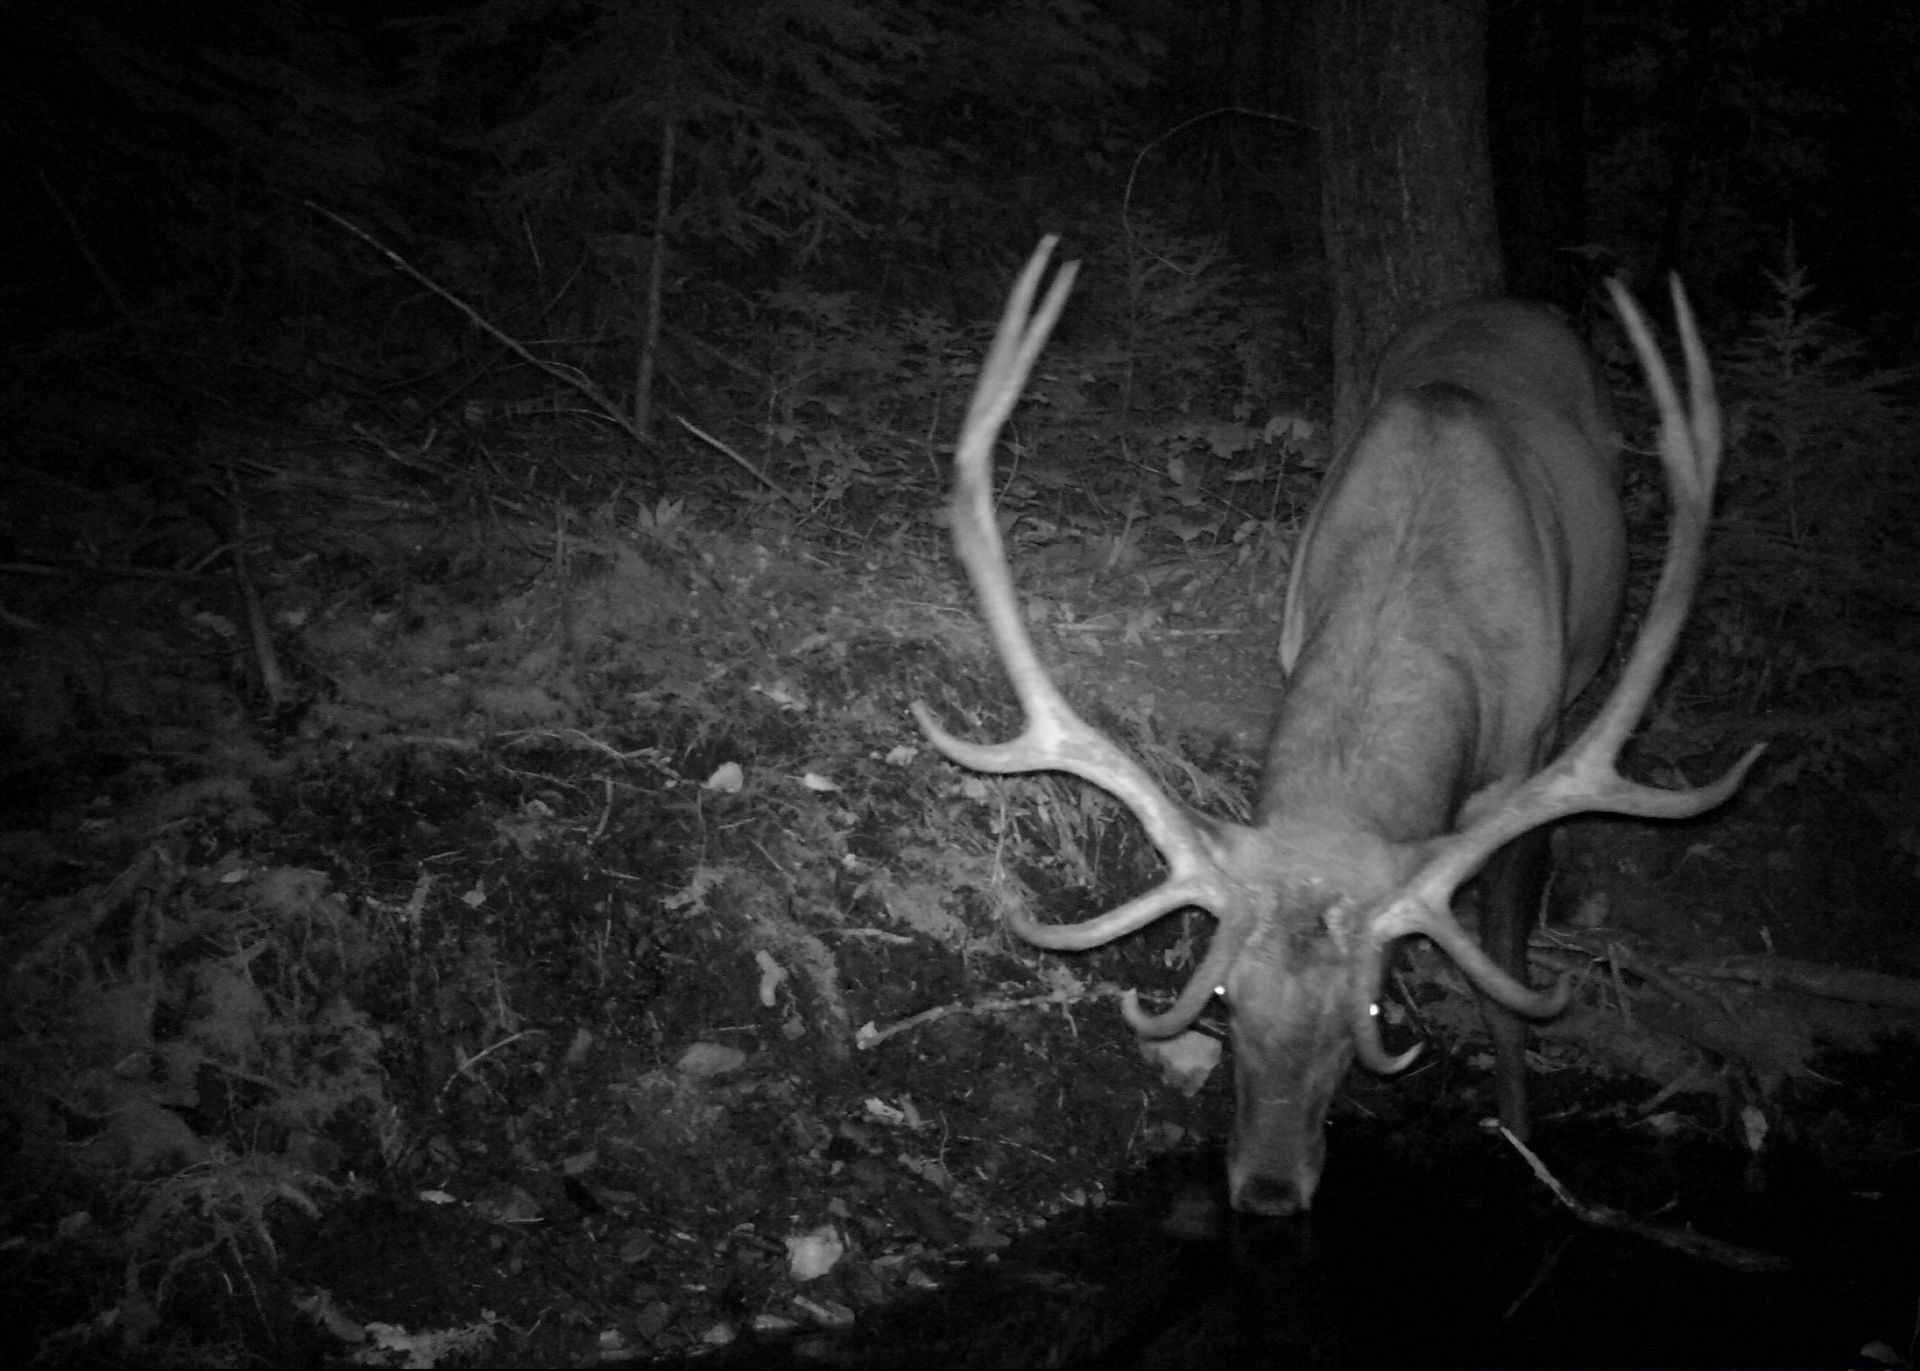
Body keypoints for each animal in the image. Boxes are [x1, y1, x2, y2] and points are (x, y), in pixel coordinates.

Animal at [912, 238, 1762, 1217]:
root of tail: (1511, 302)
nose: (1268, 1188)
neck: (1416, 585)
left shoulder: (1534, 750)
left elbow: (1505, 971)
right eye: (1227, 997)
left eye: (1369, 1010)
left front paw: (1521, 1138)